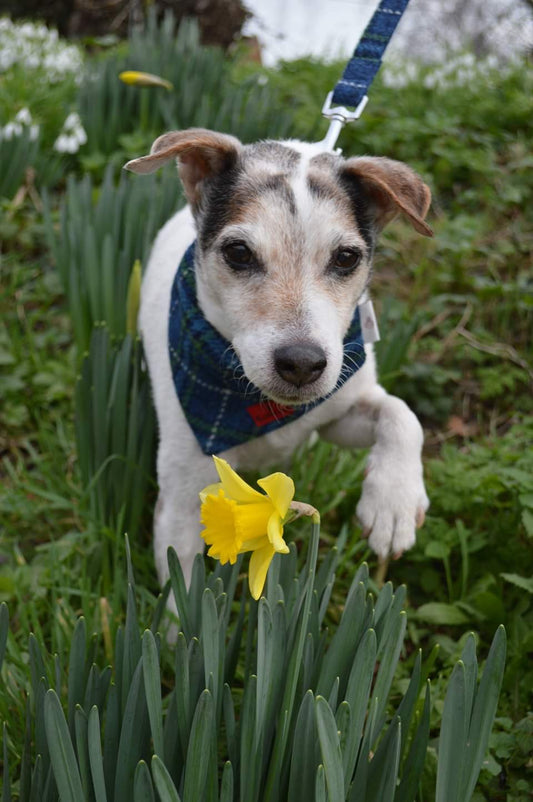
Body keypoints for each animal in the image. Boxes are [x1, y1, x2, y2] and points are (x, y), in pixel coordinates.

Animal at [124, 130, 432, 588]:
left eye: (346, 257)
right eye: (238, 252)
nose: (302, 363)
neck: (260, 407)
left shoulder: (338, 414)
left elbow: (401, 414)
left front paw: (393, 504)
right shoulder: (181, 501)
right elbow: (185, 588)